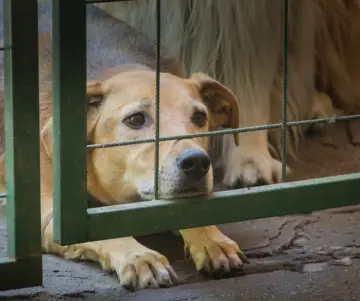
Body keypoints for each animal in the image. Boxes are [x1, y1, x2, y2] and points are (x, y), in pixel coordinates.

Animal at [0, 13, 245, 288]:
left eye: (200, 117)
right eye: (136, 119)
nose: (197, 162)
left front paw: (212, 239)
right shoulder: (53, 215)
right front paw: (140, 256)